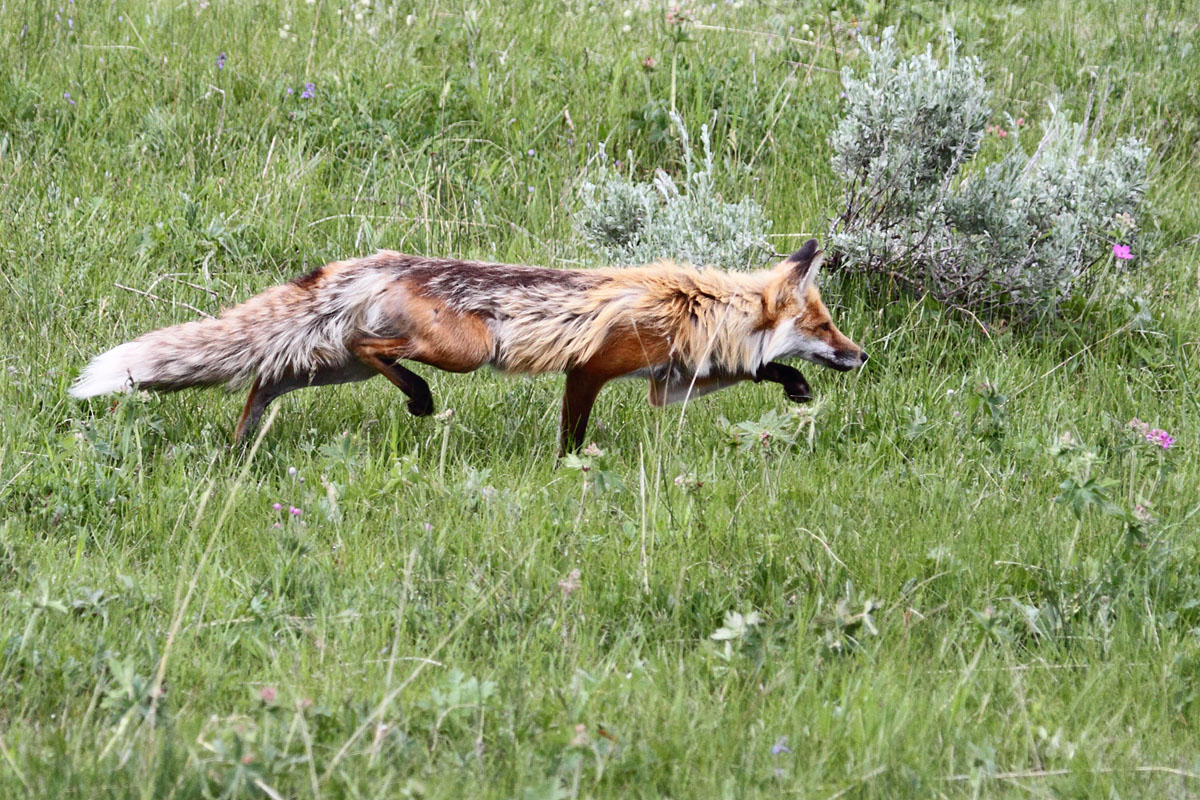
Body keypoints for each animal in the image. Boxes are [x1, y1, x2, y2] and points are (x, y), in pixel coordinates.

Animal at [70, 239, 867, 453]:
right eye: (827, 326)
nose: (860, 356)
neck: (694, 306)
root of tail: (380, 260)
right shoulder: (594, 368)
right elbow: (573, 435)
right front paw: (571, 470)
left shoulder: (664, 381)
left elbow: (753, 372)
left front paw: (793, 386)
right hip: (460, 347)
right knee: (382, 351)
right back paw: (421, 401)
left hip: (331, 368)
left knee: (265, 377)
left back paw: (239, 451)